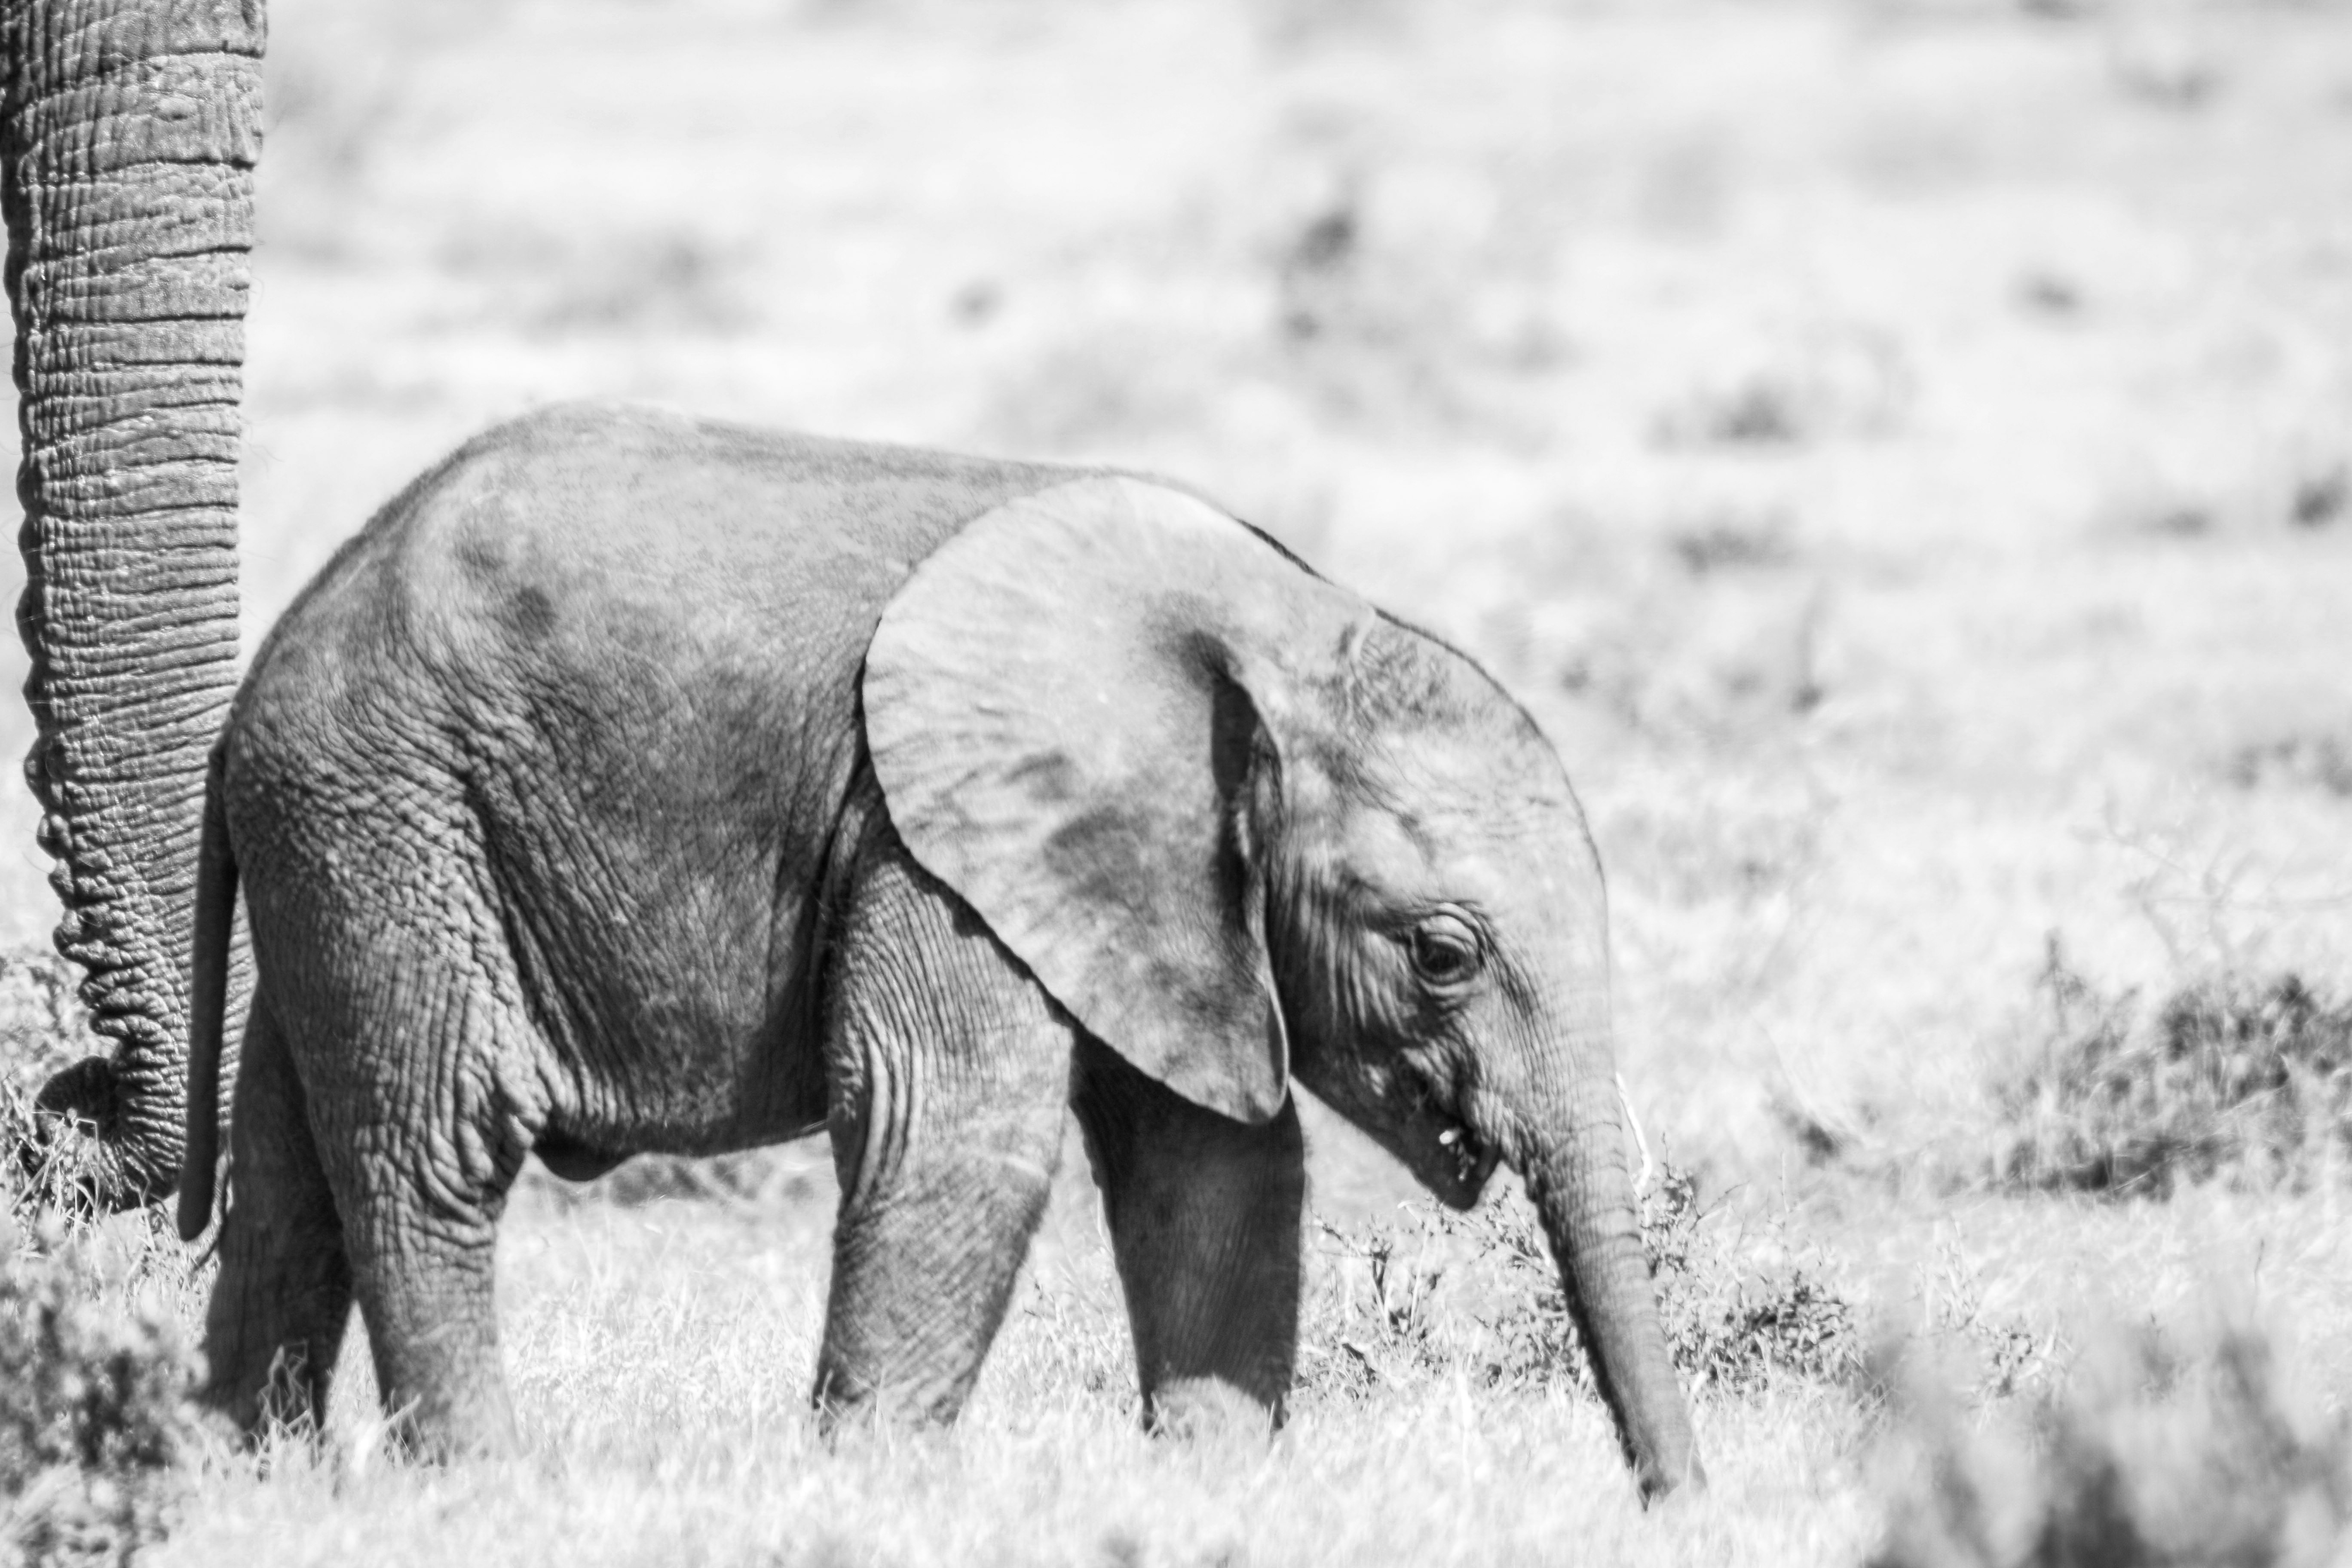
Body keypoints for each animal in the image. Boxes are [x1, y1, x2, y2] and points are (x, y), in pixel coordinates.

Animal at [183, 399, 1693, 1504]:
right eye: (1443, 954)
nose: (1674, 1505)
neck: (1278, 630)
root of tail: (278, 654)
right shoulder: (932, 834)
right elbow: (957, 1123)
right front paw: (873, 1496)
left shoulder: (1151, 892)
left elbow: (1215, 1164)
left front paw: (1212, 1493)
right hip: (388, 810)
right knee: (431, 1144)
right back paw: (486, 1491)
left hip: (339, 839)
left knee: (288, 1170)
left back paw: (239, 1475)